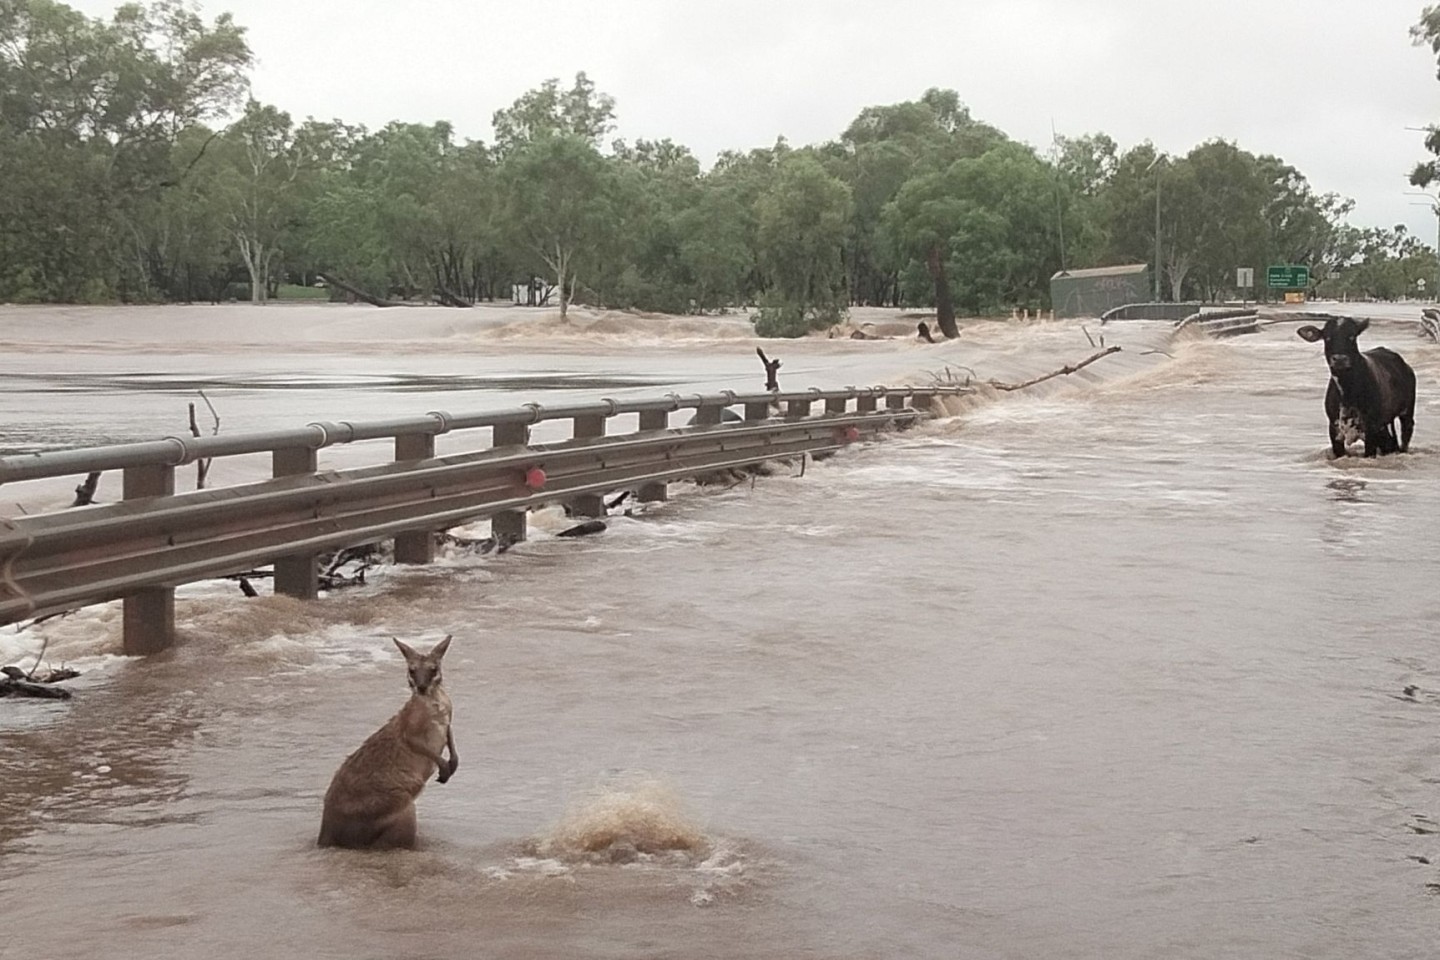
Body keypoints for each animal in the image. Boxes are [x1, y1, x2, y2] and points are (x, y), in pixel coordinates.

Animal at [1296, 316, 1416, 460]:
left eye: (1352, 336)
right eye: (1327, 337)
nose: (1340, 359)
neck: (1348, 392)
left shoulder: (1371, 430)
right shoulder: (1335, 430)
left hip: (1406, 414)